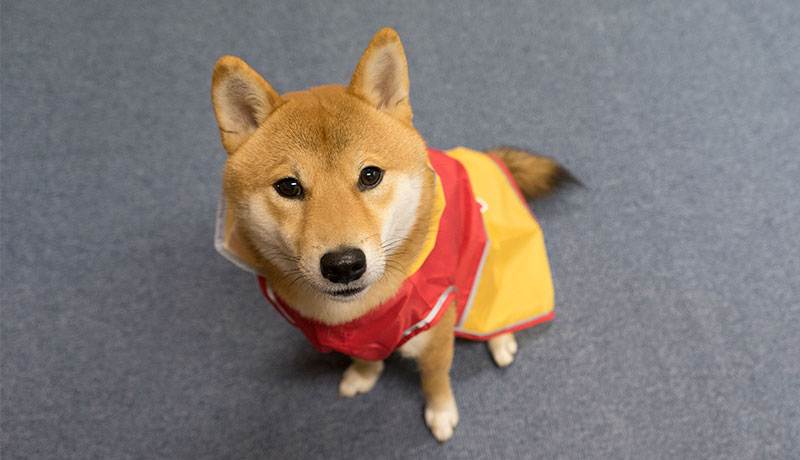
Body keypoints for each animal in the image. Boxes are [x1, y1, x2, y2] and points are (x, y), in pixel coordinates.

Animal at [212, 27, 576, 442]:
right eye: (288, 186)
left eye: (370, 175)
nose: (343, 265)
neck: (357, 312)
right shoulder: (355, 335)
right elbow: (365, 357)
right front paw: (363, 376)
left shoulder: (436, 331)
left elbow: (435, 379)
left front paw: (441, 412)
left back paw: (502, 339)